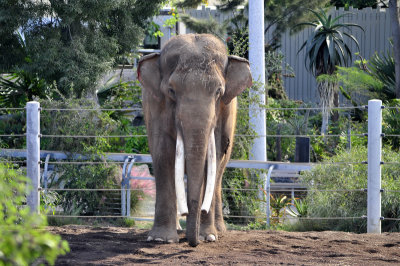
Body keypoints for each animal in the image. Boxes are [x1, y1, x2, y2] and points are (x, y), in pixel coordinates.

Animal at [137, 33, 250, 247]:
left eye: (219, 92)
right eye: (171, 91)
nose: (193, 242)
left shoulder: (221, 113)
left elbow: (212, 156)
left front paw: (208, 237)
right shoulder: (156, 104)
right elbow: (163, 154)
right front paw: (160, 239)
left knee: (219, 173)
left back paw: (219, 231)